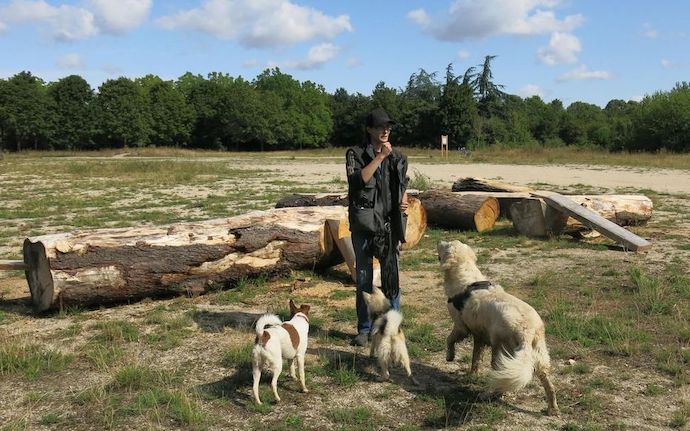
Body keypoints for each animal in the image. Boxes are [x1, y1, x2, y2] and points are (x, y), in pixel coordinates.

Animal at [436, 241, 560, 416]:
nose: (439, 241)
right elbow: (475, 358)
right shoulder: (478, 336)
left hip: (500, 351)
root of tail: (526, 331)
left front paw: (450, 356)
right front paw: (472, 374)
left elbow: (450, 340)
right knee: (549, 385)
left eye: (446, 243)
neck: (466, 278)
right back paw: (552, 408)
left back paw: (488, 394)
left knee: (501, 378)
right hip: (540, 356)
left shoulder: (460, 327)